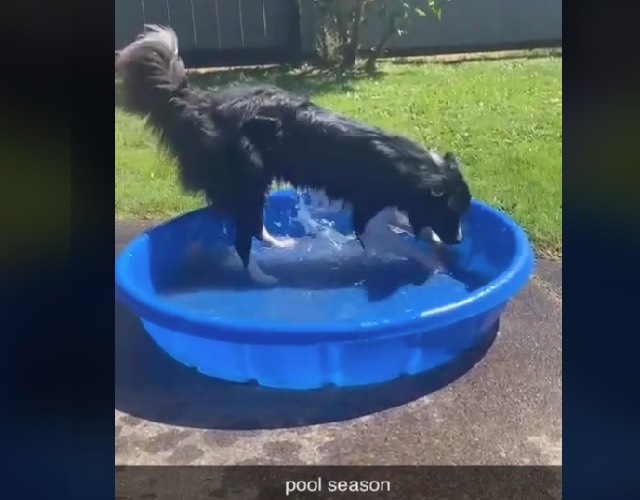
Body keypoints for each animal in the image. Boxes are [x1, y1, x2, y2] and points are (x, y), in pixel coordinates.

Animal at [117, 26, 472, 286]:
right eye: (451, 212)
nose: (458, 240)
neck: (413, 171)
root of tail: (206, 104)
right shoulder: (365, 215)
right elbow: (398, 239)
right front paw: (433, 260)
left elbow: (410, 225)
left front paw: (434, 244)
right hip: (248, 180)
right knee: (242, 240)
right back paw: (262, 278)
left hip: (252, 185)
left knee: (253, 225)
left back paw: (279, 244)